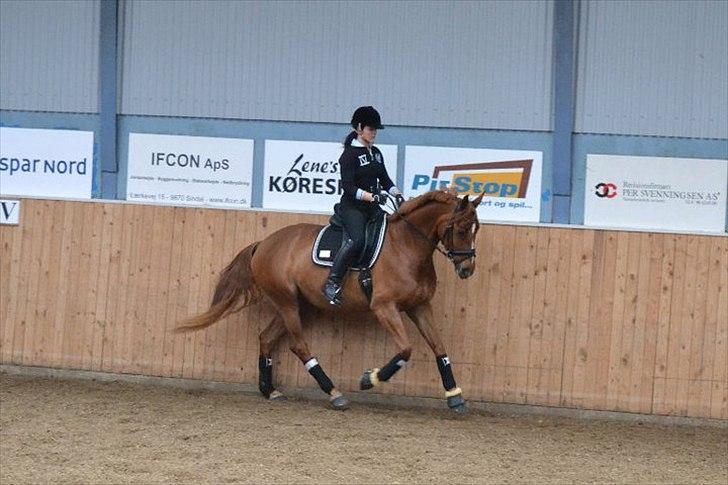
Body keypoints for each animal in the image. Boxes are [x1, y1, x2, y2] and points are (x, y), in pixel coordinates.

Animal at [177, 191, 484, 410]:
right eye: (460, 228)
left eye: (476, 229)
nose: (467, 269)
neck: (406, 247)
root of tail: (264, 243)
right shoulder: (384, 307)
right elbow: (406, 350)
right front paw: (369, 379)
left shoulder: (419, 306)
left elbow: (439, 348)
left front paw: (454, 395)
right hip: (288, 303)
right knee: (298, 346)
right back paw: (334, 393)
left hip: (300, 305)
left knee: (266, 338)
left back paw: (269, 390)